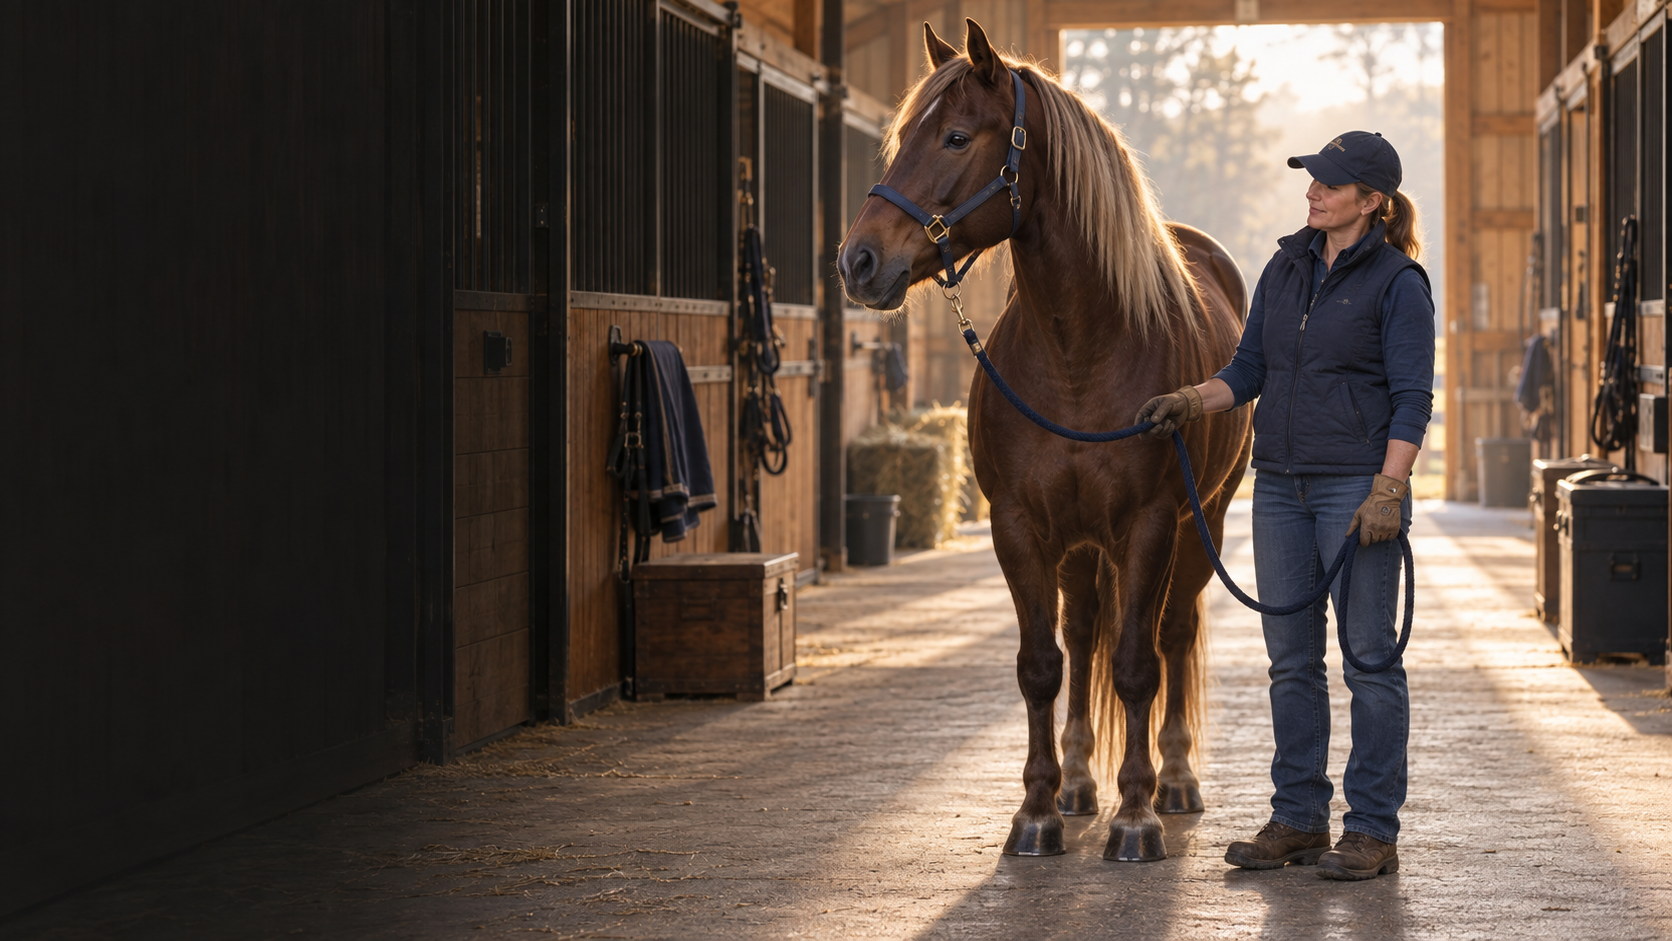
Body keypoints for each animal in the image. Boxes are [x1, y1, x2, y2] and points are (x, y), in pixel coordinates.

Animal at [837, 19, 1253, 862]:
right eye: (900, 138)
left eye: (956, 136)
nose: (857, 261)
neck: (1078, 354)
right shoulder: (1021, 526)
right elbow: (1042, 664)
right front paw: (1037, 811)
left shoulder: (1151, 525)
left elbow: (1139, 664)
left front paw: (1137, 818)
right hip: (1082, 545)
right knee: (1084, 632)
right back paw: (1080, 781)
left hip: (1207, 521)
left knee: (1174, 631)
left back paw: (1176, 779)